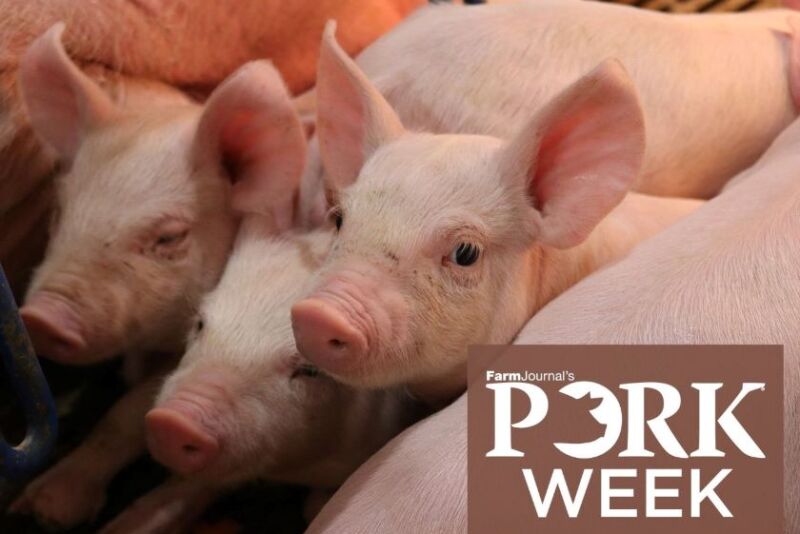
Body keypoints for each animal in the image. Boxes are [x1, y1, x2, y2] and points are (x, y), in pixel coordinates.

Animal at [9, 24, 308, 528]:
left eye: (169, 237)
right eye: (61, 210)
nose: (40, 318)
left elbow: (129, 413)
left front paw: (51, 508)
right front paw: (27, 507)